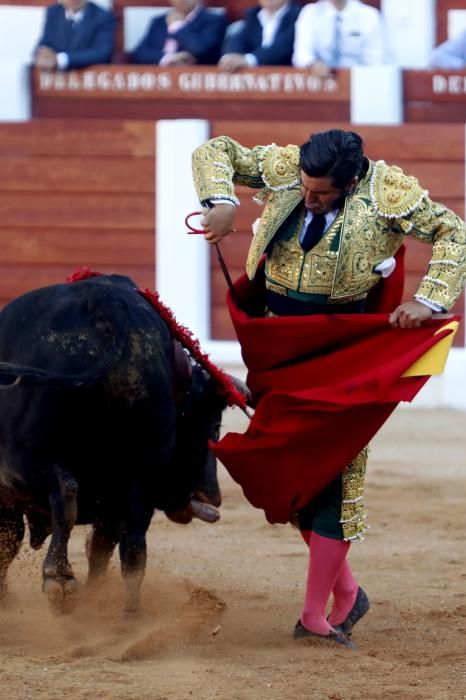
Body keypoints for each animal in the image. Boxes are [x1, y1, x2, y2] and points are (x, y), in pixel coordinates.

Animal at [0, 274, 248, 612]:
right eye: (211, 426)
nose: (211, 496)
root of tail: (107, 306)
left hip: (27, 463)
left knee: (65, 496)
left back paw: (60, 581)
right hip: (141, 475)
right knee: (131, 549)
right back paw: (126, 613)